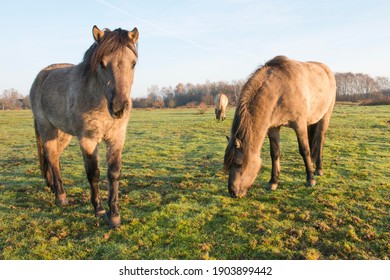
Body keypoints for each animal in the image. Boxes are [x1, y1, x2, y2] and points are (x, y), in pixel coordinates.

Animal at [29, 25, 139, 228]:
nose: (119, 108)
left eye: (133, 63)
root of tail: (43, 74)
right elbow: (93, 173)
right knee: (51, 156)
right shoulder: (88, 140)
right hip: (47, 128)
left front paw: (114, 215)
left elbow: (113, 172)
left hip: (63, 133)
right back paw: (61, 197)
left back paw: (55, 187)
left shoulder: (117, 138)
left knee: (54, 156)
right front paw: (99, 209)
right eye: (102, 63)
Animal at [224, 55, 336, 198]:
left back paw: (318, 169)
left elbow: (304, 150)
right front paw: (273, 182)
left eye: (238, 163)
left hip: (325, 117)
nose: (233, 192)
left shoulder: (299, 125)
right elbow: (275, 153)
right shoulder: (273, 128)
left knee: (320, 141)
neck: (280, 91)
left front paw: (310, 179)